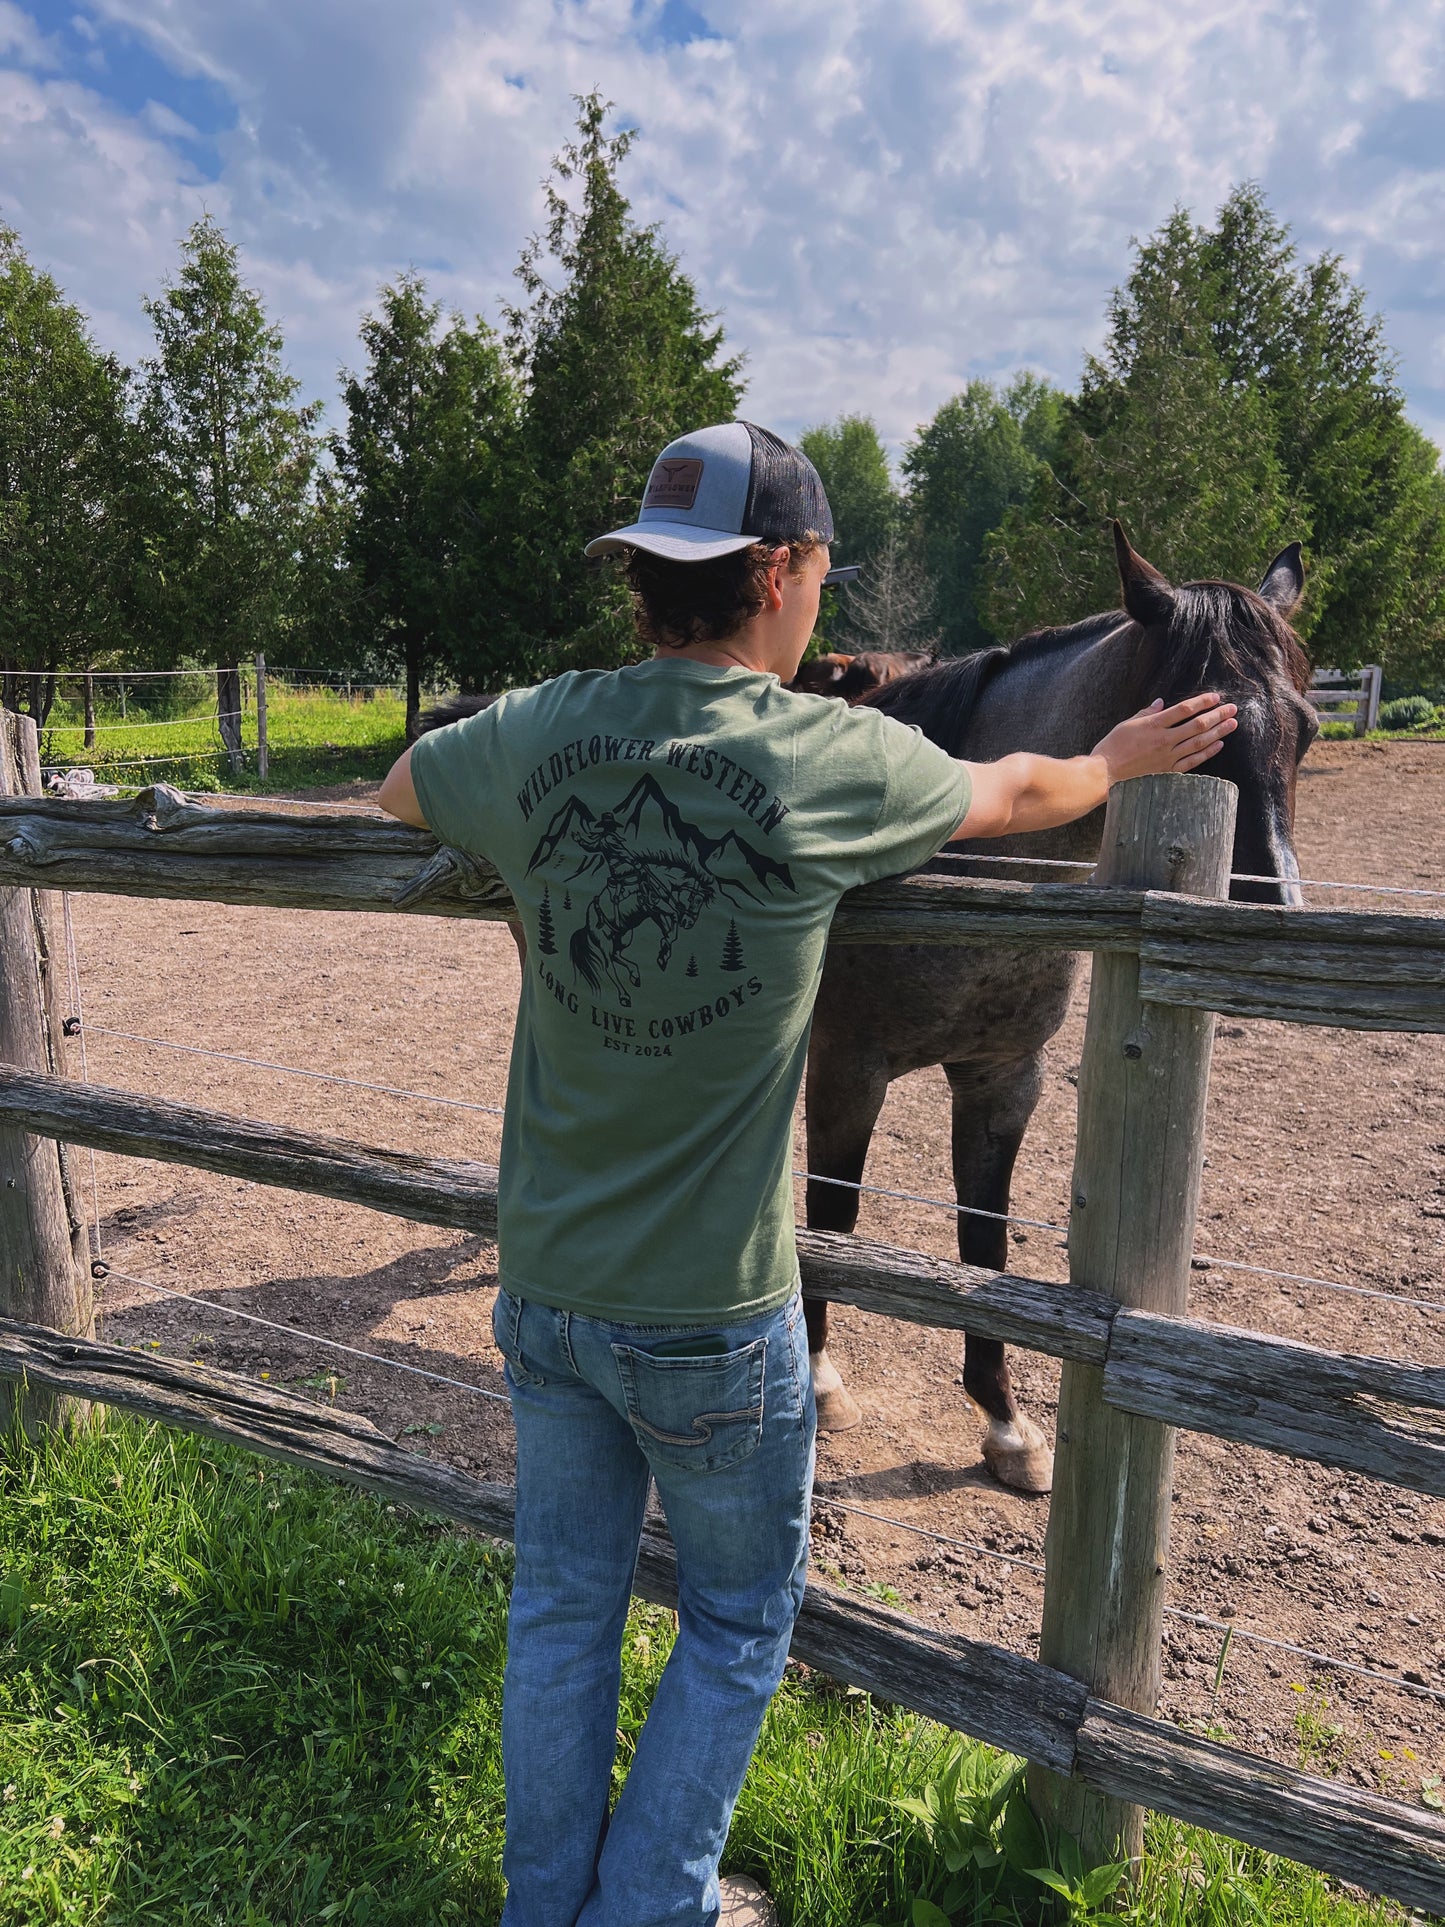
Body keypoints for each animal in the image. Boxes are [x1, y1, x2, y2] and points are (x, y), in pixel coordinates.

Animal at [805, 527, 1325, 1487]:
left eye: (1306, 728)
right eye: (1189, 728)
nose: (1269, 910)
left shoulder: (1002, 1082)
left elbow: (984, 1241)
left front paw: (1007, 1425)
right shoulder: (844, 1070)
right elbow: (833, 1218)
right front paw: (819, 1384)